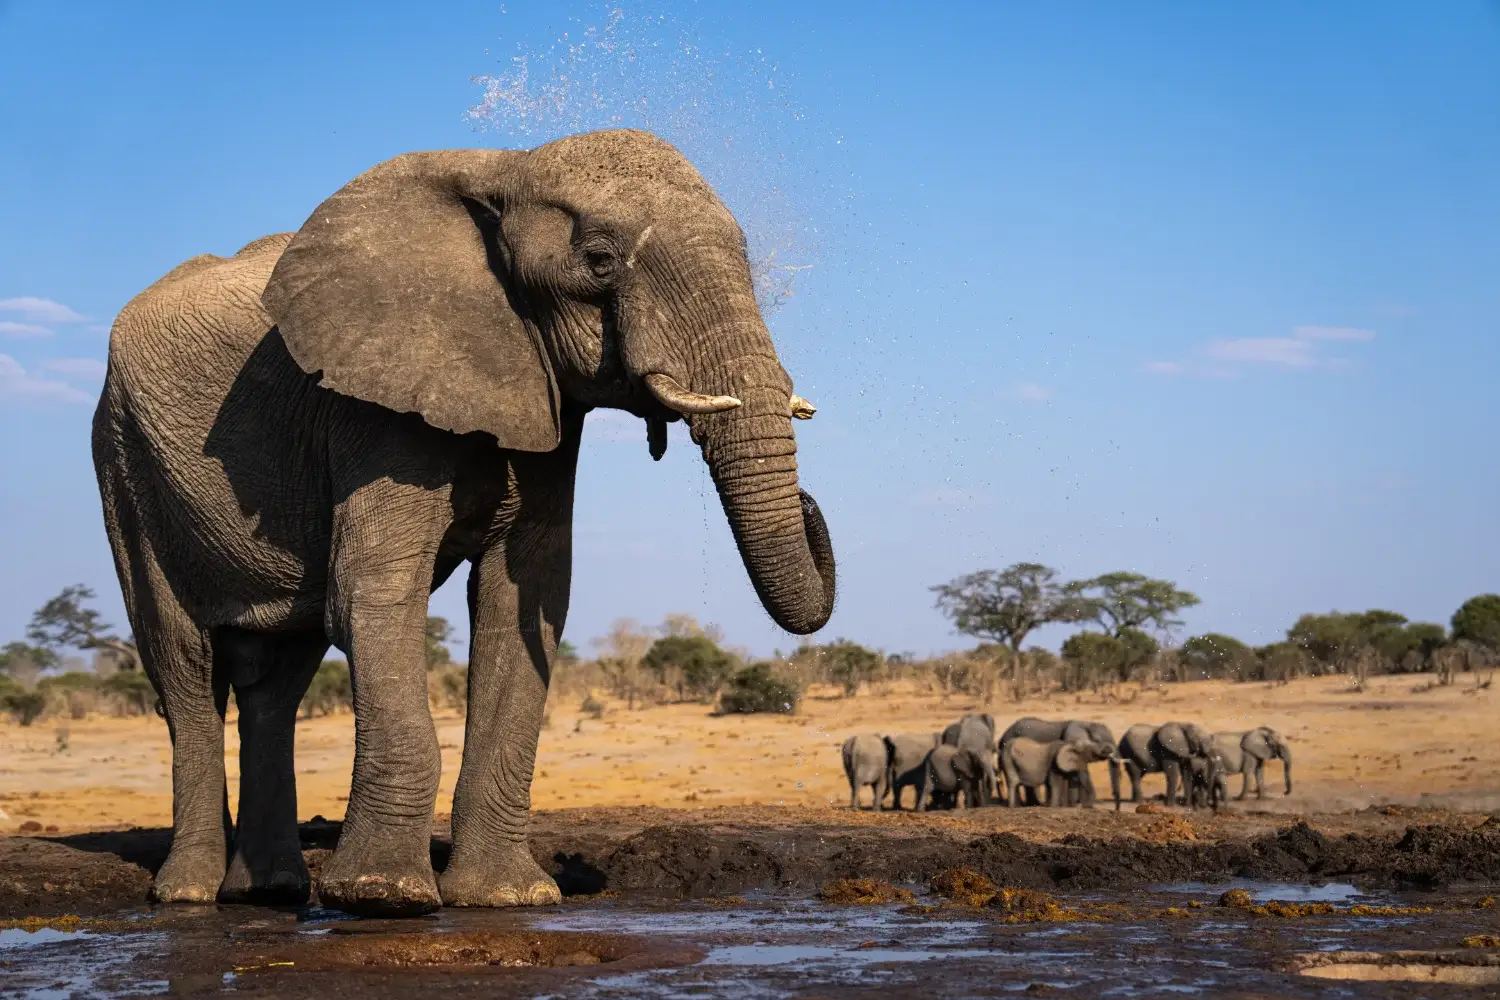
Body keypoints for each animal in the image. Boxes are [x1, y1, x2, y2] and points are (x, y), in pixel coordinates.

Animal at [91, 130, 836, 916]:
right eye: (599, 260)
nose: (812, 504)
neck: (508, 168)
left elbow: (522, 600)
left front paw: (509, 898)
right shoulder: (373, 399)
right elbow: (373, 593)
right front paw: (383, 897)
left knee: (278, 679)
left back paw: (270, 891)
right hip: (123, 459)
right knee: (183, 662)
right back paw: (188, 896)